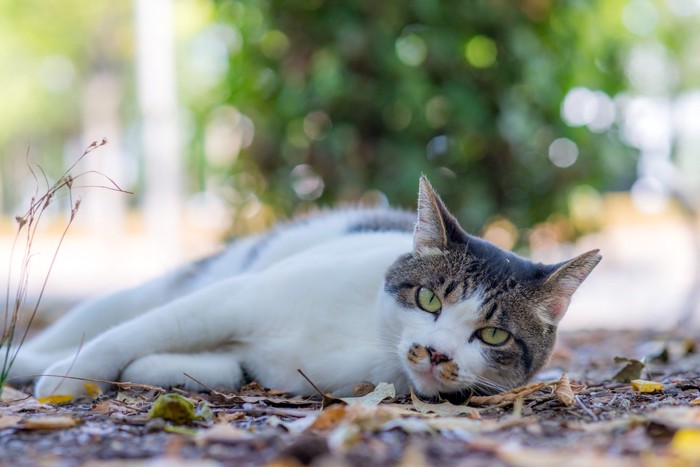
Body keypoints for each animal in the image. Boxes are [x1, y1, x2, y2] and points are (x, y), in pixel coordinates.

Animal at [8, 177, 600, 400]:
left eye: (494, 336)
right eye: (429, 298)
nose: (436, 352)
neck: (369, 343)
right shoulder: (234, 298)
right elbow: (129, 336)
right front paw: (65, 378)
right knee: (107, 318)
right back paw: (29, 360)